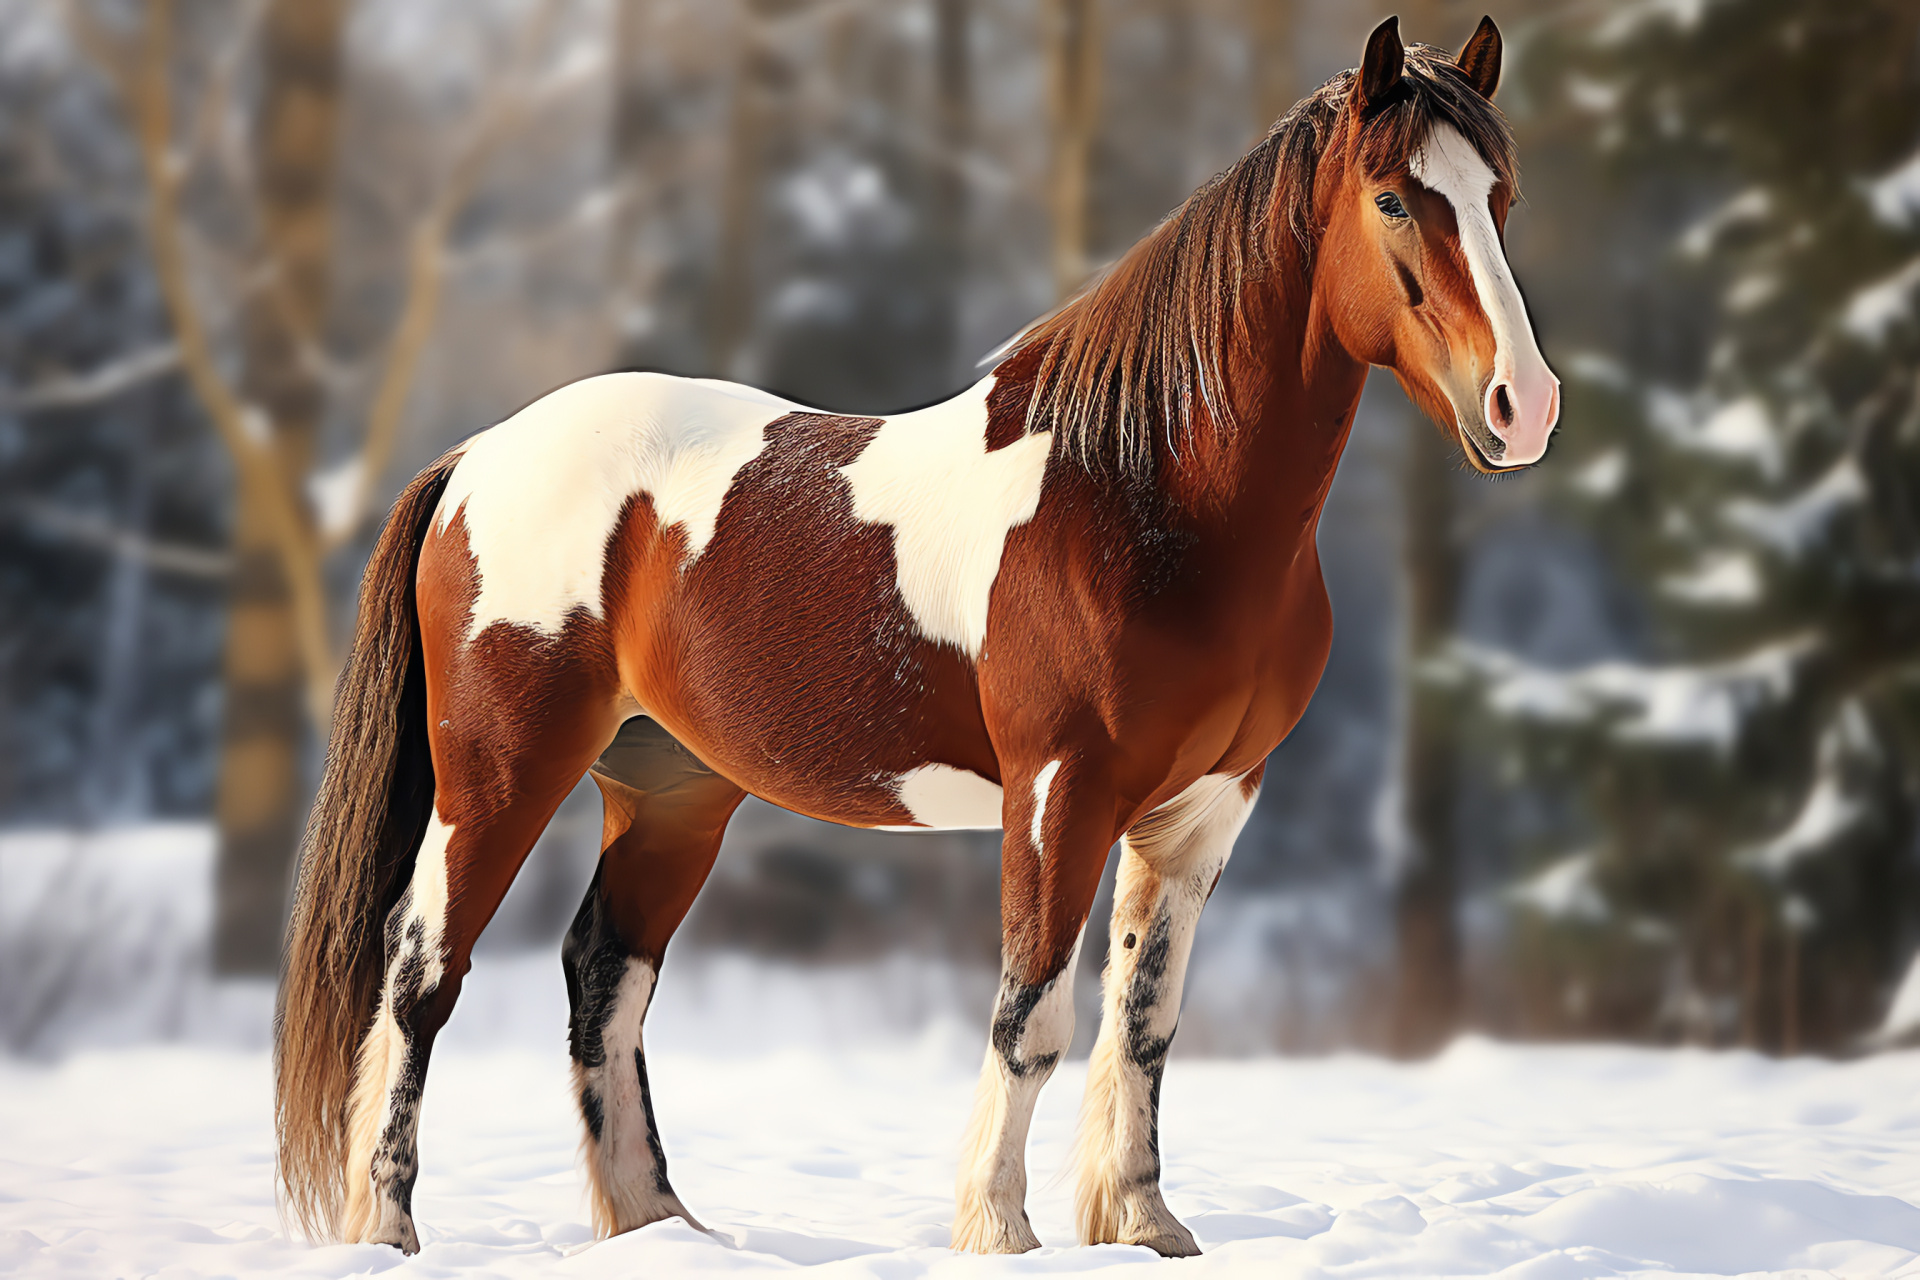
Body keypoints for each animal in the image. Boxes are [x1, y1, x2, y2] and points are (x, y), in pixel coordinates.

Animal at [274, 14, 1559, 1258]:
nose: (1523, 407)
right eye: (1393, 198)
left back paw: (658, 1226)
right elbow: (1032, 1014)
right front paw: (999, 1227)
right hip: (498, 776)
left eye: (1501, 195)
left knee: (605, 971)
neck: (1143, 490)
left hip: (670, 790)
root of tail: (473, 459)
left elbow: (1145, 1020)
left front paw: (1143, 1223)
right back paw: (388, 1224)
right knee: (420, 972)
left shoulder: (1202, 810)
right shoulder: (1059, 794)